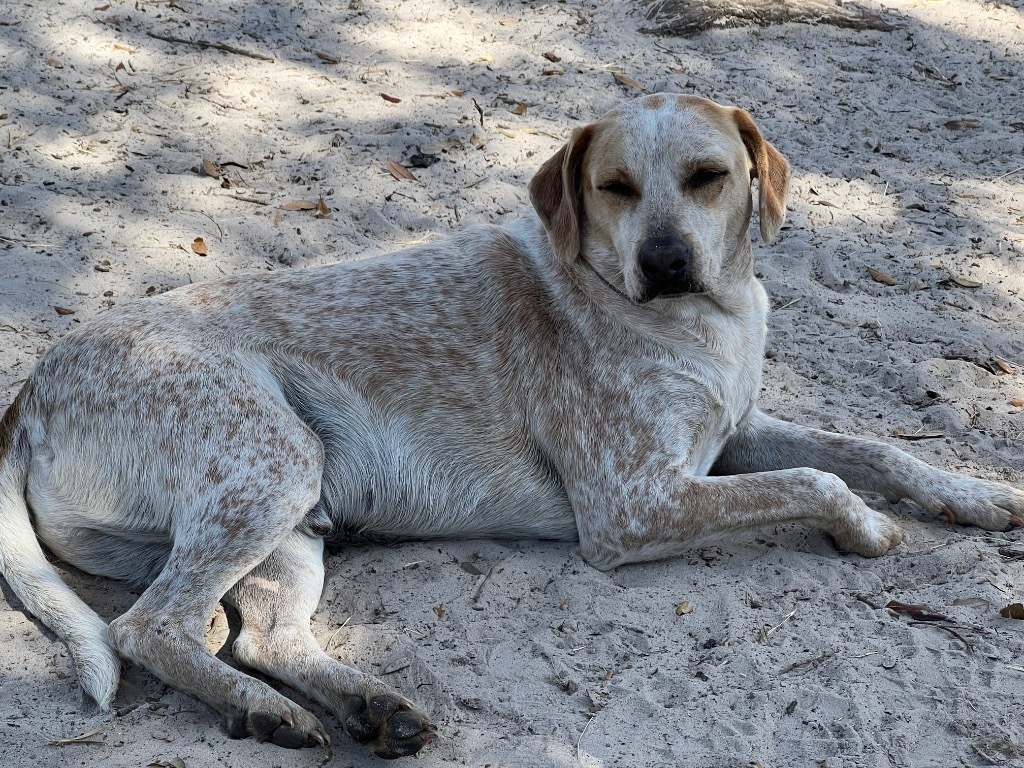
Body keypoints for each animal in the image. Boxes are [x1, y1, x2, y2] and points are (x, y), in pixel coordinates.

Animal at [2, 93, 1024, 761]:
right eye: (614, 187)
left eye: (707, 179)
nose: (666, 261)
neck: (705, 318)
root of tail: (30, 390)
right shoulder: (635, 506)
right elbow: (822, 481)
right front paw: (868, 529)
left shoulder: (730, 434)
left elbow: (869, 448)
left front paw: (976, 496)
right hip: (275, 465)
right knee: (149, 626)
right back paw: (265, 713)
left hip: (291, 517)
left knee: (258, 638)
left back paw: (366, 707)